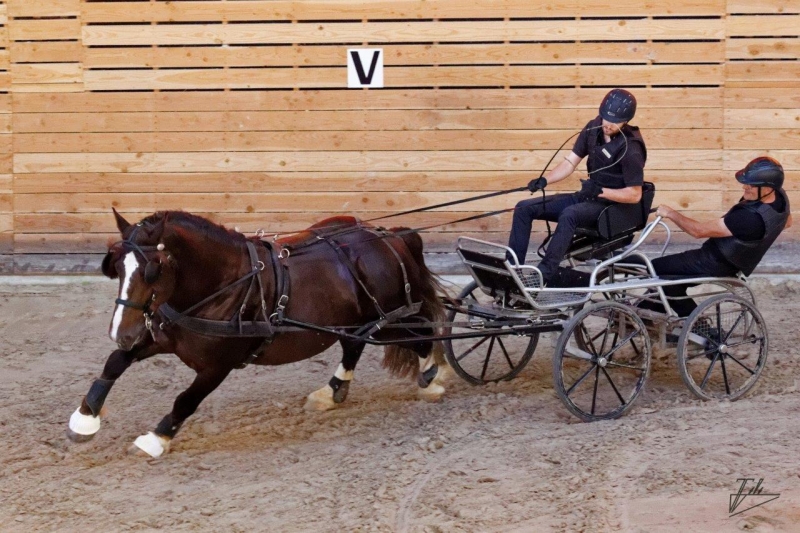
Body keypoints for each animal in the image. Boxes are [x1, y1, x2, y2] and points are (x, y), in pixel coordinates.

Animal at [65, 210, 446, 456]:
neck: (223, 285)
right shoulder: (161, 335)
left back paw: (432, 376)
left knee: (424, 331)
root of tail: (390, 235)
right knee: (354, 345)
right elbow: (115, 362)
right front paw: (85, 419)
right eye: (116, 266)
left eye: (152, 270)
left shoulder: (217, 366)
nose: (120, 331)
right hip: (354, 321)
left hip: (389, 319)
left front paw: (156, 438)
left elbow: (185, 400)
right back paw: (331, 391)